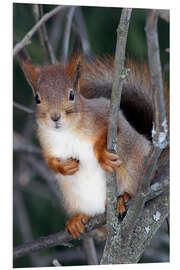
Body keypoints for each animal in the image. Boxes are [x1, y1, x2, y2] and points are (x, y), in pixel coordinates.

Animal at [14, 39, 168, 237]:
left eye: (72, 95)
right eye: (37, 98)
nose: (55, 117)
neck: (66, 132)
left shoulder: (105, 114)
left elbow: (109, 133)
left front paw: (102, 156)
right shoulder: (46, 141)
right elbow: (49, 160)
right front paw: (63, 167)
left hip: (135, 170)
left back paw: (122, 198)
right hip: (73, 197)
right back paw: (77, 220)